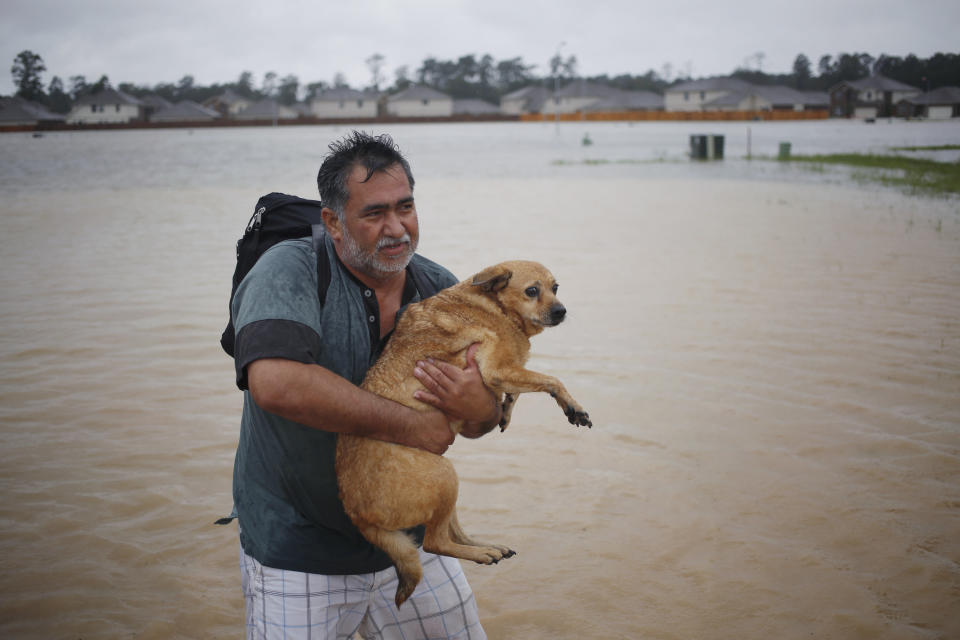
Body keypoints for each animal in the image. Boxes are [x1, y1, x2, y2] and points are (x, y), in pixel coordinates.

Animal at [338, 258, 592, 604]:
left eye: (555, 288)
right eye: (532, 291)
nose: (561, 311)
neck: (498, 307)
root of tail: (357, 515)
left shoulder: (503, 373)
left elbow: (519, 389)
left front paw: (506, 410)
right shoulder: (497, 369)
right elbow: (551, 380)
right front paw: (573, 407)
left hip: (446, 488)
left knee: (452, 532)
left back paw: (488, 548)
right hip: (444, 475)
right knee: (434, 542)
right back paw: (481, 553)